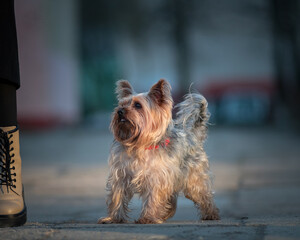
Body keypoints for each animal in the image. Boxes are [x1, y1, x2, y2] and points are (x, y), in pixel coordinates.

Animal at [97, 79, 219, 224]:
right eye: (122, 104)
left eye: (138, 105)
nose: (120, 111)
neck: (139, 145)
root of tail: (192, 135)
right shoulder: (120, 176)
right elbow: (117, 197)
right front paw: (114, 218)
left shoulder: (157, 178)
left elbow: (153, 197)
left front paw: (147, 218)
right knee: (171, 199)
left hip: (194, 179)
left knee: (203, 194)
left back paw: (211, 214)